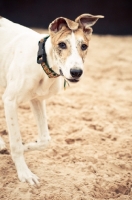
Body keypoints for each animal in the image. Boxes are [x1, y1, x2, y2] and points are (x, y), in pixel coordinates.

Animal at [0, 14, 103, 185]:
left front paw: (26, 146)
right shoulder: (10, 100)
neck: (41, 61)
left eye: (84, 46)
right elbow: (15, 143)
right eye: (61, 44)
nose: (76, 72)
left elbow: (45, 139)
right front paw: (24, 173)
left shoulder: (37, 100)